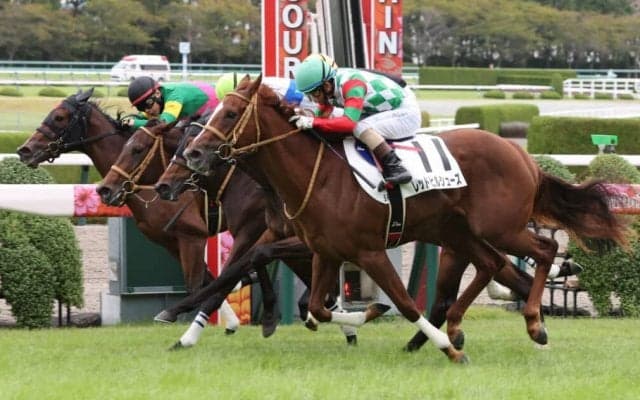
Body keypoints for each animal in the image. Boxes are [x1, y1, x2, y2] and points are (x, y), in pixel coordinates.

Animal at [182, 75, 627, 363]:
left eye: (230, 113)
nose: (193, 154)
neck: (320, 176)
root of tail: (523, 156)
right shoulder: (325, 252)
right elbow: (315, 309)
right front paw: (368, 317)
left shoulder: (370, 251)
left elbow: (405, 303)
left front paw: (447, 350)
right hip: (460, 233)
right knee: (492, 264)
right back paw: (462, 326)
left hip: (499, 227)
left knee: (545, 248)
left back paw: (532, 324)